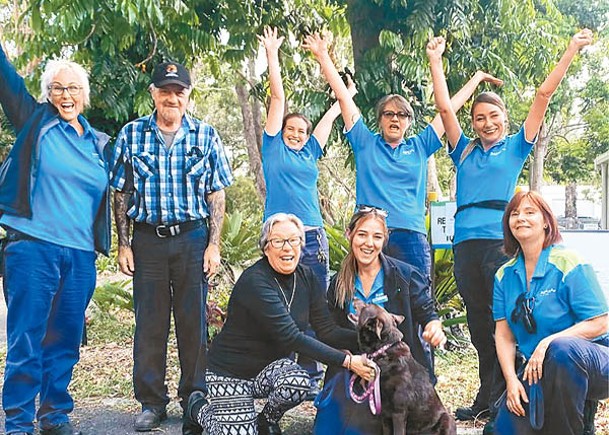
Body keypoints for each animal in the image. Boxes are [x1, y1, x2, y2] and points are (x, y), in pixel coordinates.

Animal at [356, 304, 456, 435]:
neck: (384, 350)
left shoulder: (398, 412)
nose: (354, 301)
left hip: (448, 419)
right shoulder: (385, 414)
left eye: (364, 307)